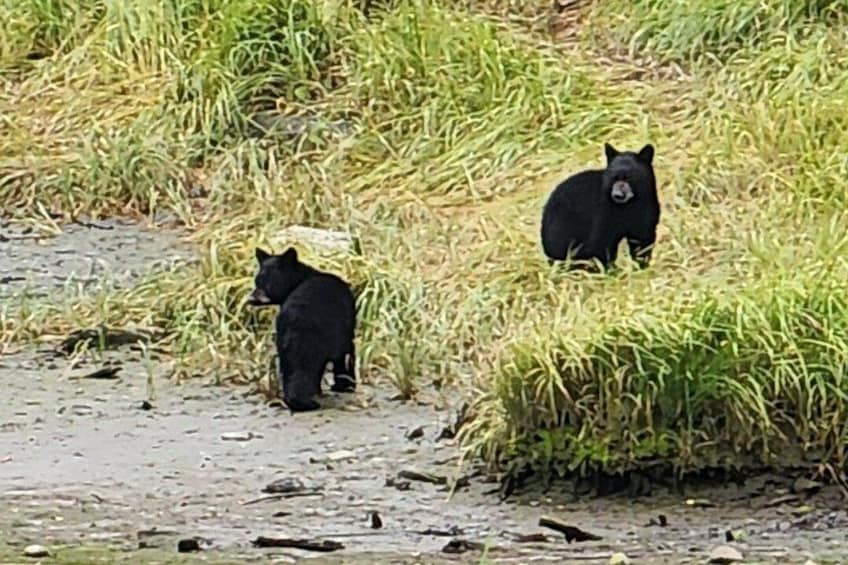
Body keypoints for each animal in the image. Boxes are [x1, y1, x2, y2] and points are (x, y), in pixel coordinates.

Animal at [246, 246, 357, 412]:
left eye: (266, 283)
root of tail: (294, 316)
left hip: (283, 341)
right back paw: (307, 402)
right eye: (257, 281)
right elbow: (345, 354)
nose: (251, 299)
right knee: (306, 370)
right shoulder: (344, 333)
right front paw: (345, 386)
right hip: (312, 342)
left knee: (289, 369)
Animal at [540, 142, 660, 271]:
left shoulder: (647, 209)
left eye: (628, 177)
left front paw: (642, 266)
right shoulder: (603, 212)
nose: (617, 195)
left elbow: (642, 241)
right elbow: (600, 243)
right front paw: (610, 270)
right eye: (613, 177)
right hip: (561, 229)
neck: (629, 206)